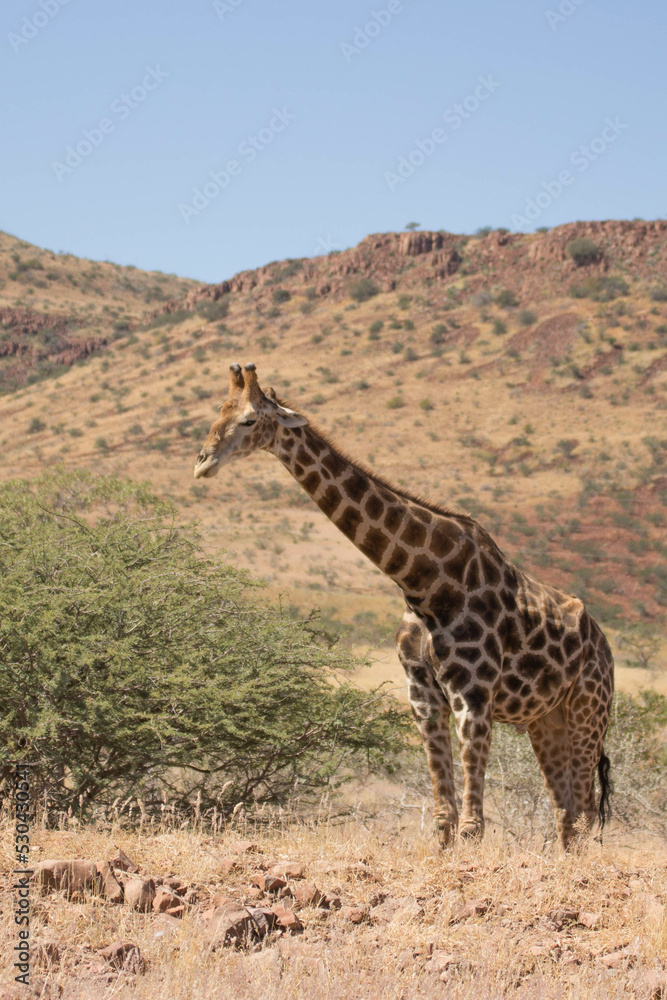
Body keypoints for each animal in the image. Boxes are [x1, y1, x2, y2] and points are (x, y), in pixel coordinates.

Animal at [194, 362, 614, 849]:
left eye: (247, 420)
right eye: (217, 412)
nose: (202, 462)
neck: (424, 583)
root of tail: (604, 646)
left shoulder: (474, 696)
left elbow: (472, 824)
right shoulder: (423, 695)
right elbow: (444, 817)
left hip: (589, 710)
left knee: (585, 812)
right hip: (547, 720)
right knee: (567, 813)